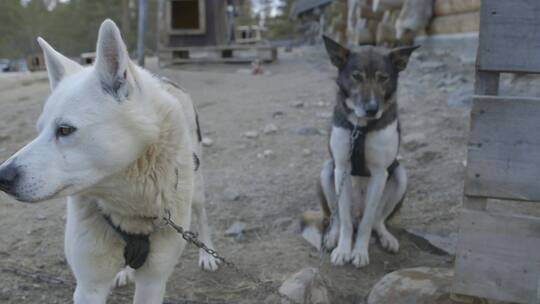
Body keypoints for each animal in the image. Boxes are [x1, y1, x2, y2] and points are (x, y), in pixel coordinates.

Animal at [0, 20, 219, 302]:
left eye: (65, 130)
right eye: (39, 130)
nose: (2, 176)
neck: (128, 206)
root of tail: (165, 80)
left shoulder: (153, 280)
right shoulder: (89, 286)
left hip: (197, 187)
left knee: (202, 216)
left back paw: (207, 253)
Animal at [300, 36, 418, 268]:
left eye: (383, 78)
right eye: (356, 76)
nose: (372, 109)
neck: (361, 127)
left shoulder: (380, 173)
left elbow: (367, 222)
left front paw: (360, 252)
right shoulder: (341, 168)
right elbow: (344, 219)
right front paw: (343, 250)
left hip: (400, 175)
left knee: (377, 220)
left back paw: (386, 237)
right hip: (327, 171)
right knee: (337, 218)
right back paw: (332, 237)